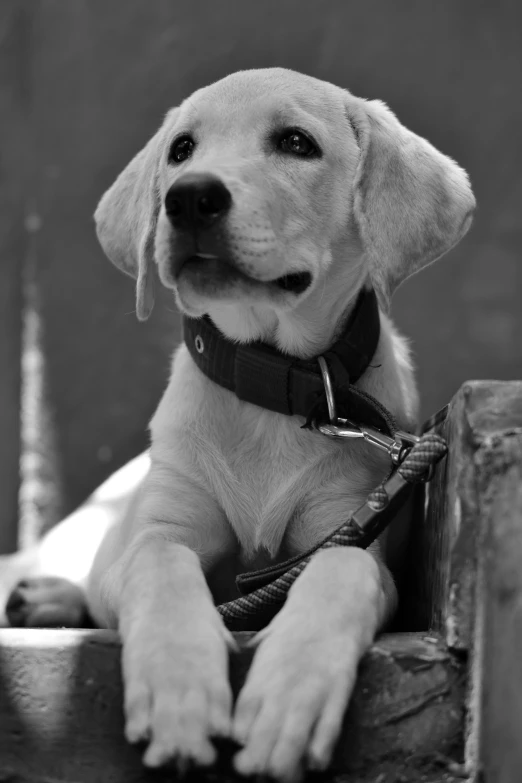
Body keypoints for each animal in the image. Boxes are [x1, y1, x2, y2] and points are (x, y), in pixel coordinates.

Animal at [3, 69, 476, 783]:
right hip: (84, 530)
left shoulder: (351, 523)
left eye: (297, 143)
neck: (268, 381)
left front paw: (291, 693)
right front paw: (178, 690)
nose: (189, 198)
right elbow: (162, 567)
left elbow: (343, 570)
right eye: (180, 150)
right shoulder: (157, 532)